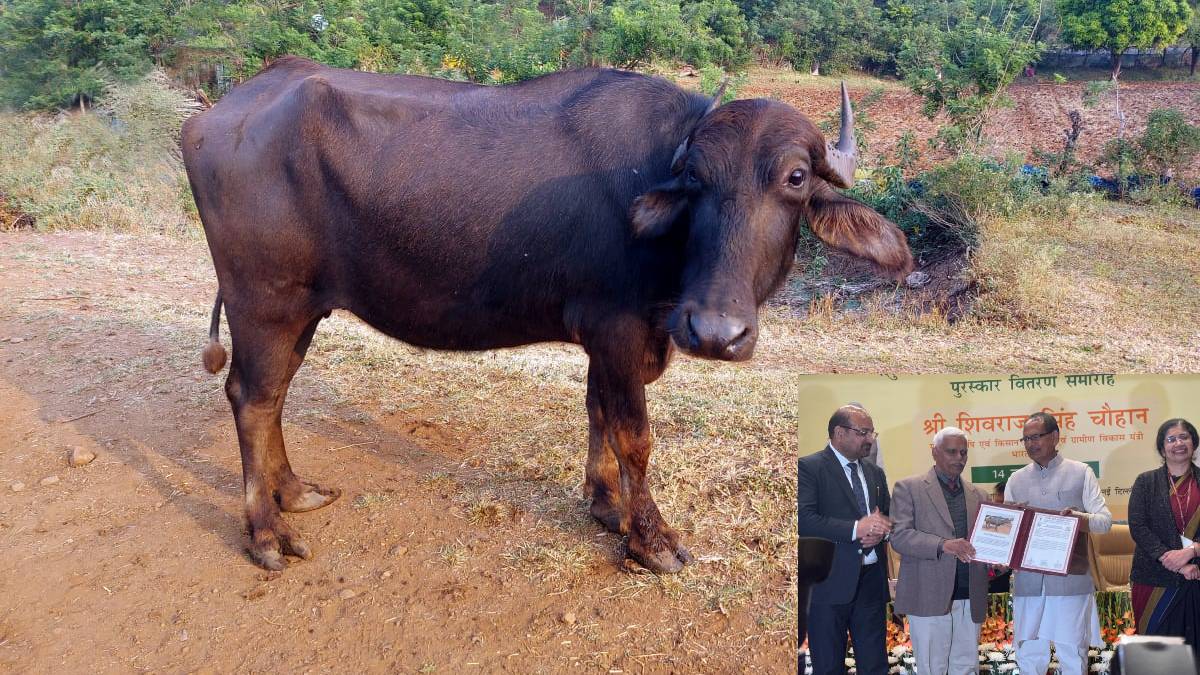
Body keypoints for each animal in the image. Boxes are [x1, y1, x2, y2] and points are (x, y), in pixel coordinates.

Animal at [182, 56, 913, 573]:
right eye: (696, 179)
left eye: (795, 177)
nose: (716, 332)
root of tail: (216, 116)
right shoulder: (618, 331)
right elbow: (634, 435)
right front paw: (652, 539)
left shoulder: (610, 340)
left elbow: (597, 414)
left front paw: (607, 505)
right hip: (264, 300)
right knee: (251, 396)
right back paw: (268, 532)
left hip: (302, 308)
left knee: (275, 394)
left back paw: (293, 491)